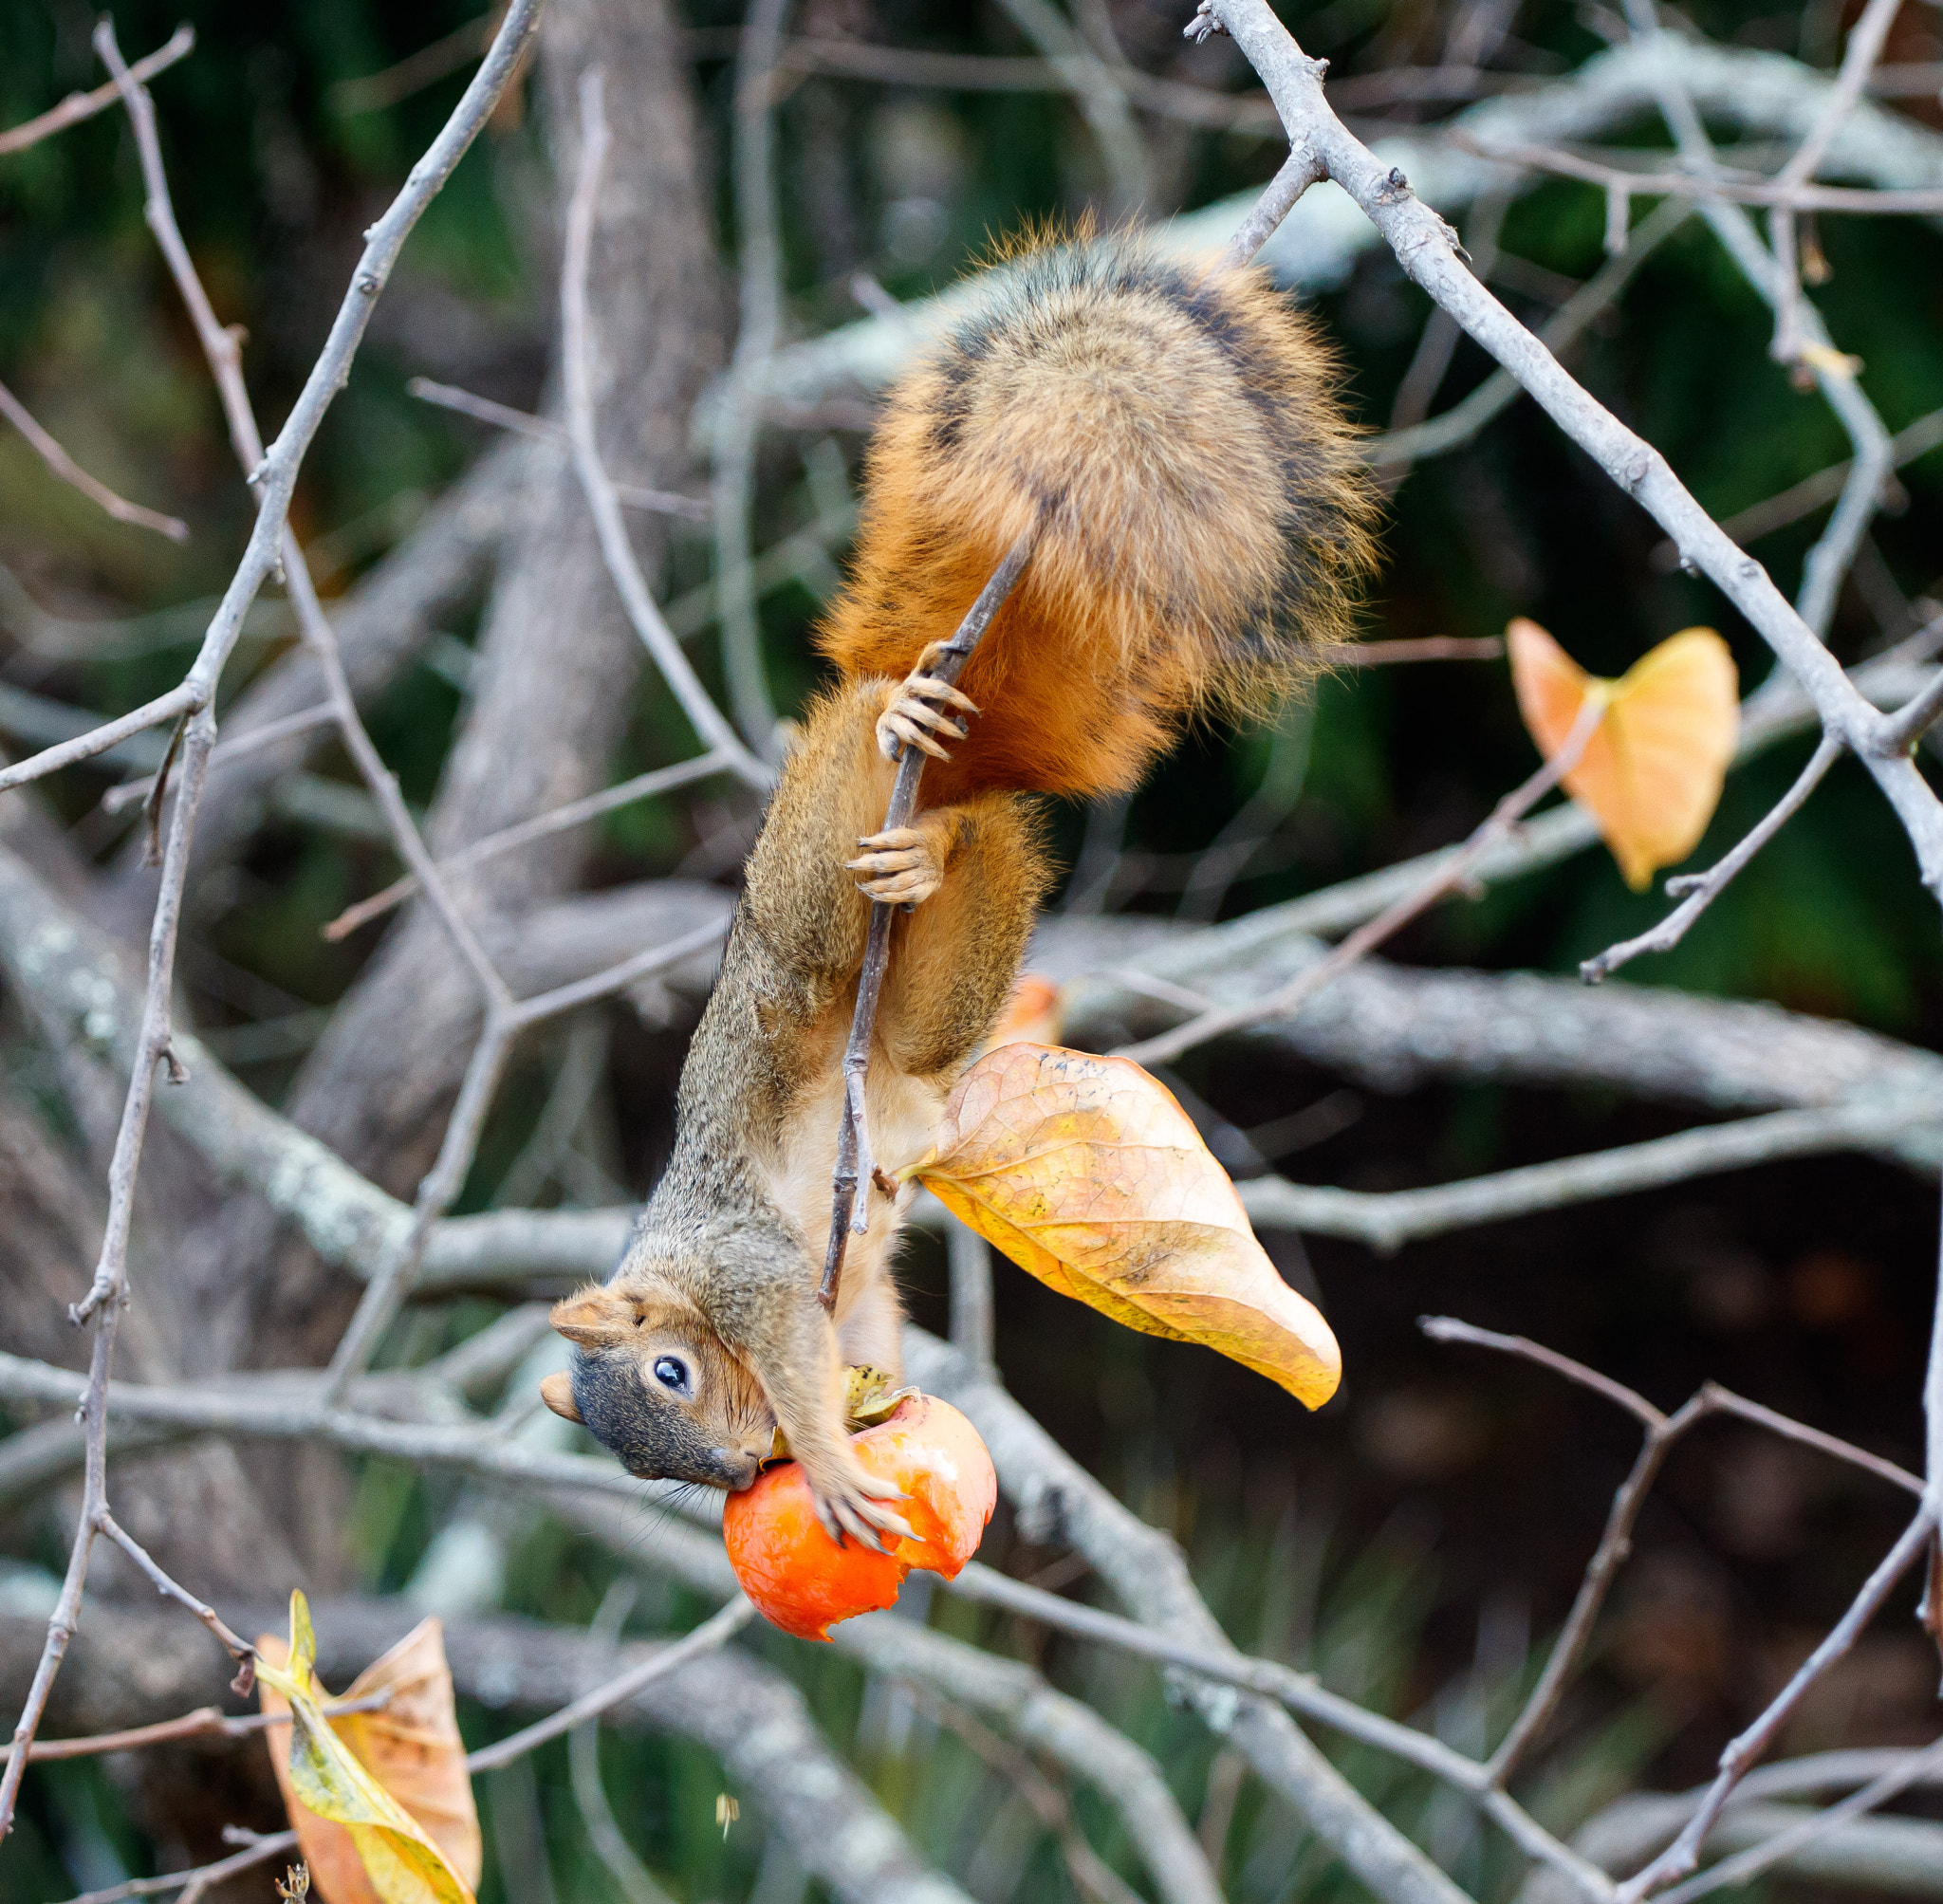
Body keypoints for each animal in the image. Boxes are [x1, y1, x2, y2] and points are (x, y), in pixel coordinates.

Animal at [540, 227, 1375, 1546]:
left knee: (852, 802)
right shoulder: (845, 1295)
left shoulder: (744, 1263)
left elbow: (790, 1340)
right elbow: (863, 1330)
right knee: (982, 853)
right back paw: (938, 840)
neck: (671, 1264)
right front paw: (860, 1420)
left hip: (801, 892)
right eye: (666, 1477)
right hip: (937, 1009)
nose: (744, 1466)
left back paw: (899, 731)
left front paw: (827, 1457)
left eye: (669, 1372)